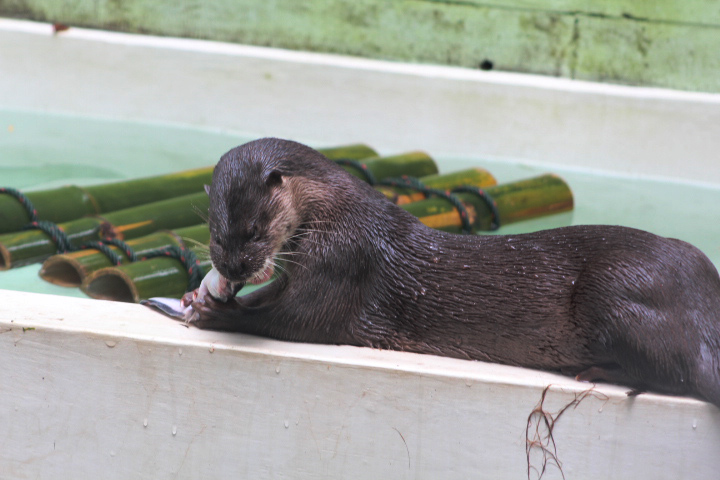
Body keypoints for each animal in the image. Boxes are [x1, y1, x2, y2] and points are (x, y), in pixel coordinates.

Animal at [145, 138, 720, 408]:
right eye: (214, 230)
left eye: (254, 229)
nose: (231, 266)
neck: (337, 214)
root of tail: (705, 314)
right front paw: (191, 298)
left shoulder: (342, 267)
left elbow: (289, 320)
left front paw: (206, 312)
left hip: (618, 292)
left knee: (671, 371)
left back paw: (599, 372)